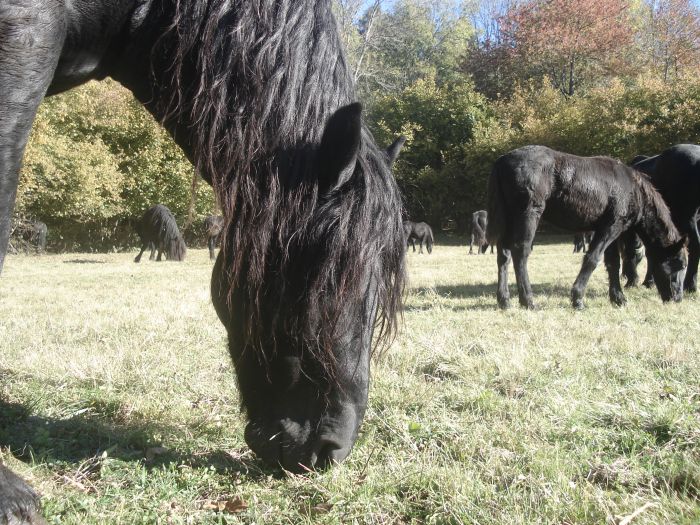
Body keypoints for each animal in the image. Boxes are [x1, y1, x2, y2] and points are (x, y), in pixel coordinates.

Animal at [484, 145, 688, 310]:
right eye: (680, 264)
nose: (677, 298)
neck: (632, 189)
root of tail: (501, 161)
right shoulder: (611, 228)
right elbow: (592, 259)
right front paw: (578, 299)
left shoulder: (607, 230)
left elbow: (612, 263)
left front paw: (618, 298)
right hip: (528, 215)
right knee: (520, 252)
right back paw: (528, 301)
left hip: (509, 219)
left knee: (504, 254)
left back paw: (504, 301)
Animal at [624, 143, 700, 290]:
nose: (623, 274)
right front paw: (650, 281)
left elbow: (632, 249)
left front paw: (634, 280)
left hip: (686, 219)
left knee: (695, 245)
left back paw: (690, 284)